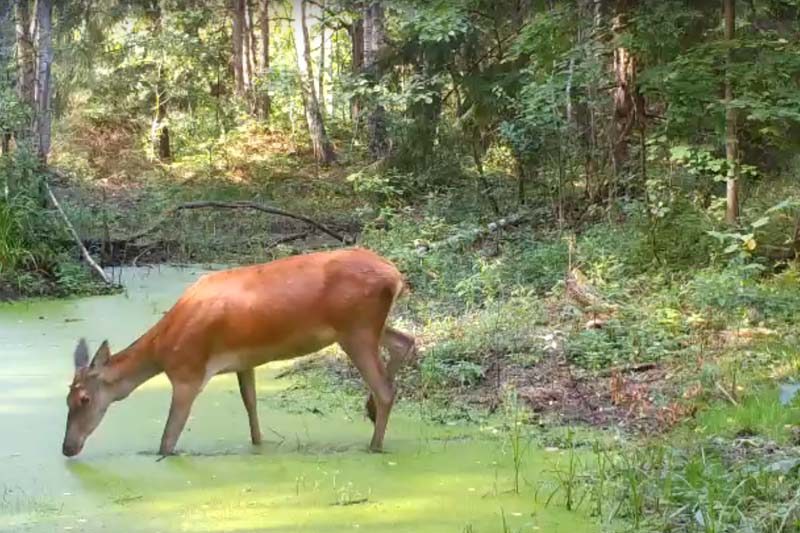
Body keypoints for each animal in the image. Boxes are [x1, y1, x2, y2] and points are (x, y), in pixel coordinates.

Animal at [61, 247, 418, 456]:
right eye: (66, 399)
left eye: (84, 399)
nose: (67, 448)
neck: (163, 348)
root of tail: (396, 275)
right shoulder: (243, 362)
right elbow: (251, 407)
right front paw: (259, 445)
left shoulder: (188, 373)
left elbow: (168, 440)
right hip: (366, 327)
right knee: (406, 342)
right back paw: (370, 411)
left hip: (355, 328)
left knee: (386, 388)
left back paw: (374, 444)